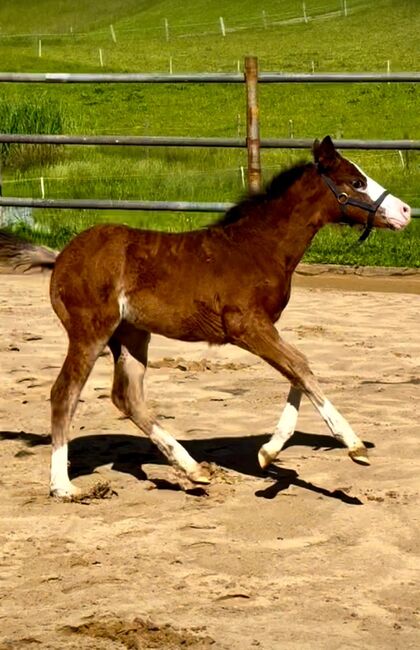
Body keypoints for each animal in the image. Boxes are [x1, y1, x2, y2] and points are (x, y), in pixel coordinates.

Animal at [0, 134, 410, 494]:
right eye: (356, 181)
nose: (405, 211)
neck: (256, 248)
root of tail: (59, 258)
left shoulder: (263, 328)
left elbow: (297, 370)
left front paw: (268, 453)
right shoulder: (246, 326)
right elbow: (300, 367)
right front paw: (354, 447)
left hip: (131, 335)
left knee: (127, 397)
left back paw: (193, 469)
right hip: (90, 331)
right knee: (64, 393)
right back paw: (63, 486)